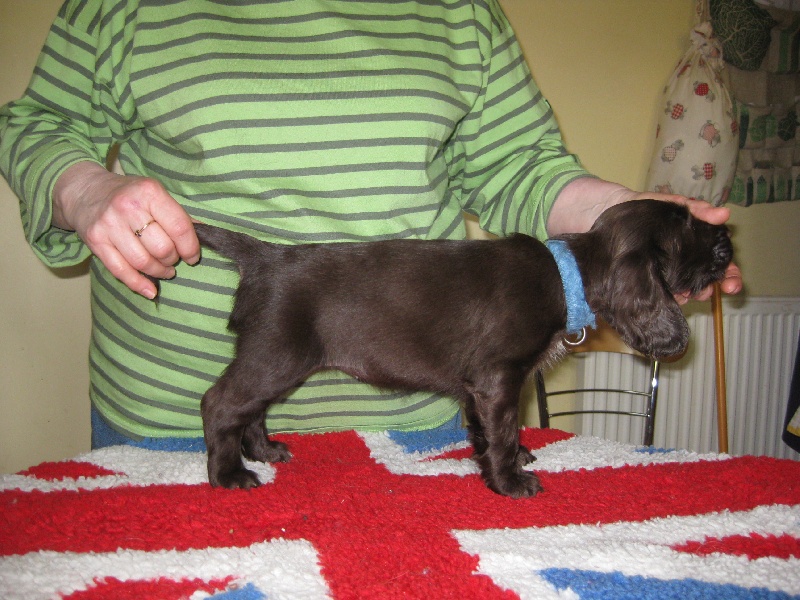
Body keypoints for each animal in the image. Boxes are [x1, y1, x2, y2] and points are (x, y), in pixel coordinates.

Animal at [194, 199, 733, 498]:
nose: (728, 239)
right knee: (221, 403)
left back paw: (264, 450)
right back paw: (230, 473)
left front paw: (502, 459)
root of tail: (266, 257)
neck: (567, 275)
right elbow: (503, 429)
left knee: (250, 408)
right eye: (686, 225)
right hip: (277, 354)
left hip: (274, 358)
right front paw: (509, 481)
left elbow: (490, 428)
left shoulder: (484, 385)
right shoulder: (500, 376)